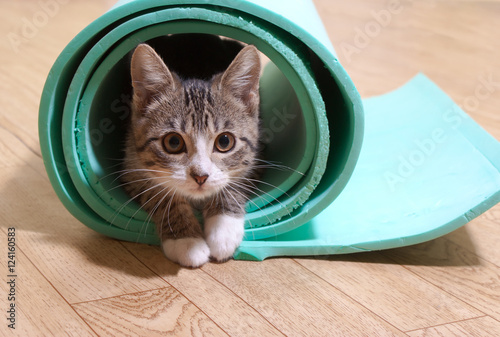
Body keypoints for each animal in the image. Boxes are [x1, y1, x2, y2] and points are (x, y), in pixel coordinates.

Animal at [122, 42, 260, 268]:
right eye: (173, 142)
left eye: (224, 141)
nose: (201, 176)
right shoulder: (131, 164)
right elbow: (158, 193)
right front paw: (186, 241)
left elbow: (235, 181)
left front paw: (223, 229)